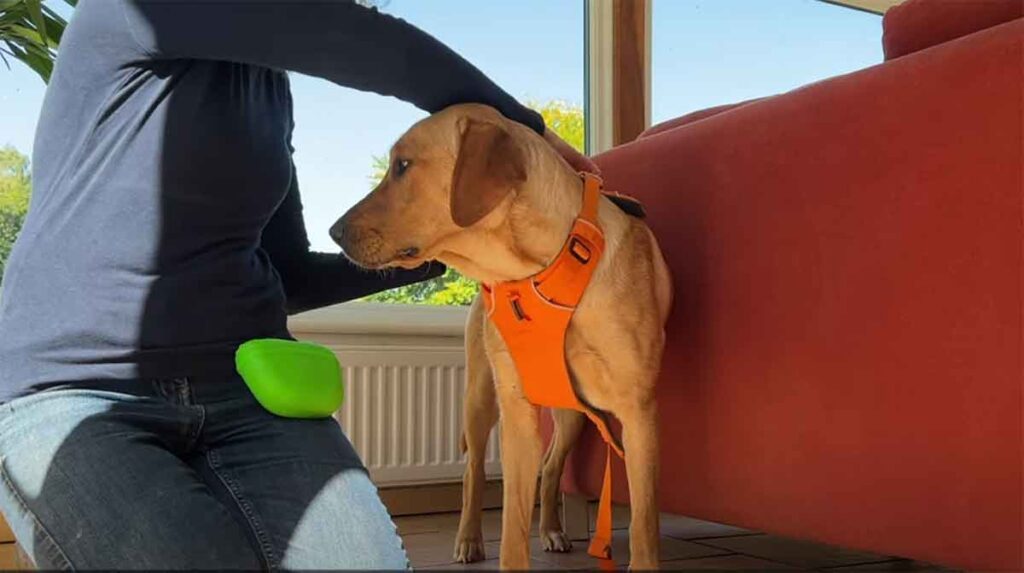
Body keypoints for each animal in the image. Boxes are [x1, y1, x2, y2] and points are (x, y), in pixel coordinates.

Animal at [333, 102, 671, 568]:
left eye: (402, 165)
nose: (333, 232)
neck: (541, 272)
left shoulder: (639, 416)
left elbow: (643, 527)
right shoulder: (516, 414)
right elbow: (511, 529)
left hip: (571, 417)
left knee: (551, 467)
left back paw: (551, 530)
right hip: (480, 398)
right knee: (473, 471)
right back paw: (469, 539)